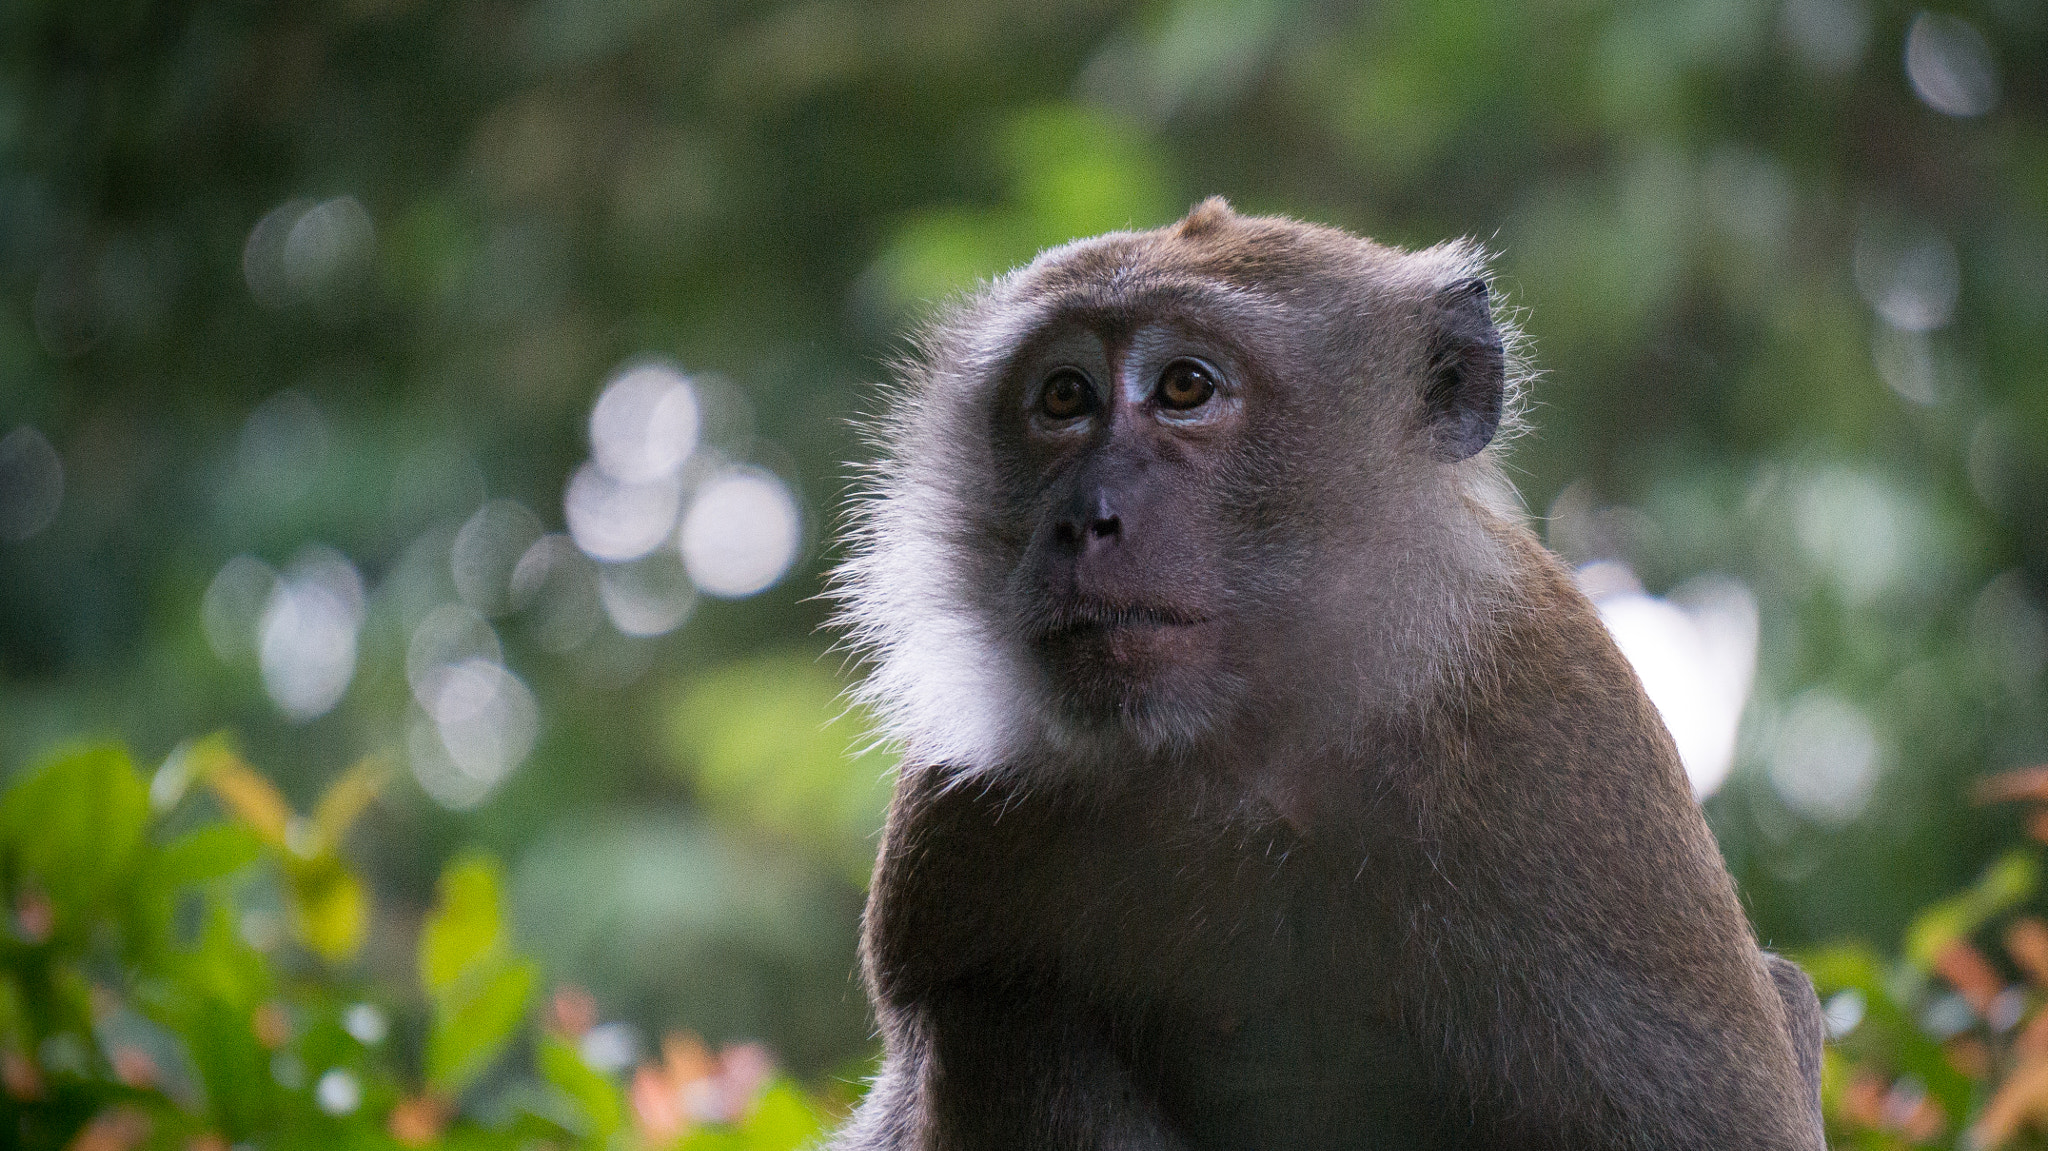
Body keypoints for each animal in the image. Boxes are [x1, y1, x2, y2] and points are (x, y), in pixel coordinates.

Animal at [831, 199, 1826, 1146]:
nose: (1085, 519)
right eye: (1064, 397)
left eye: (1185, 386)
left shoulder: (1568, 755)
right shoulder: (959, 819)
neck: (1254, 756)